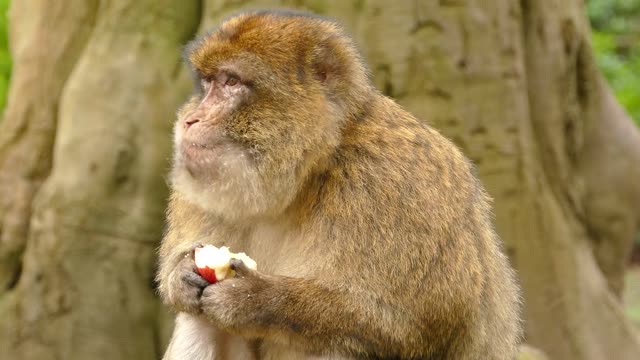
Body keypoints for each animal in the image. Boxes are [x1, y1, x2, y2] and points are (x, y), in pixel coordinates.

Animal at [158, 8, 524, 360]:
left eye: (232, 81)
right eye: (208, 83)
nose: (190, 120)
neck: (310, 173)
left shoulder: (394, 184)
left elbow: (419, 324)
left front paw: (254, 298)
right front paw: (181, 275)